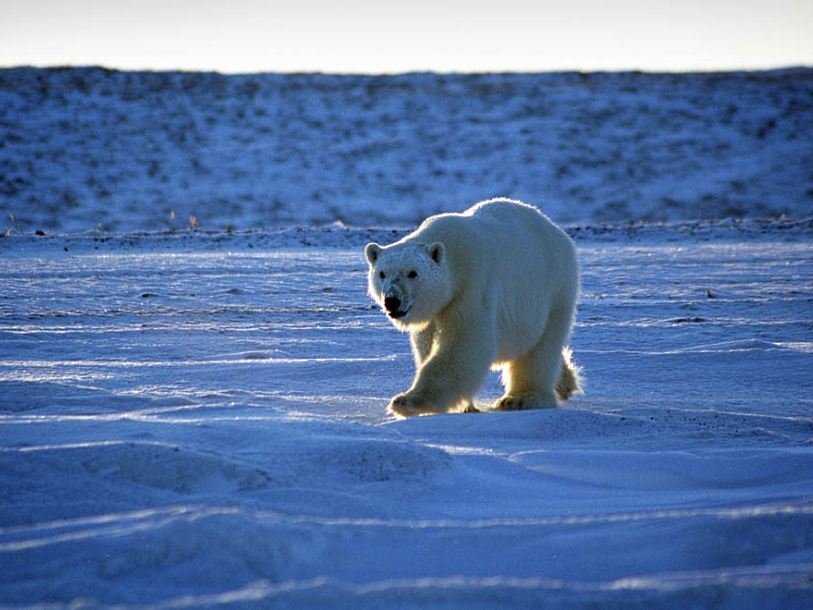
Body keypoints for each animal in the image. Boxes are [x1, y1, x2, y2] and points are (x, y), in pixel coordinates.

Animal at [364, 197, 580, 416]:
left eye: (413, 273)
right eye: (382, 273)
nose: (392, 300)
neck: (453, 255)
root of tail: (554, 228)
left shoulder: (471, 287)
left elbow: (463, 343)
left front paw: (408, 401)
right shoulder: (436, 310)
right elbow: (427, 344)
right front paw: (465, 405)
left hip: (553, 289)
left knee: (541, 348)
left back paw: (521, 399)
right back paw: (566, 382)